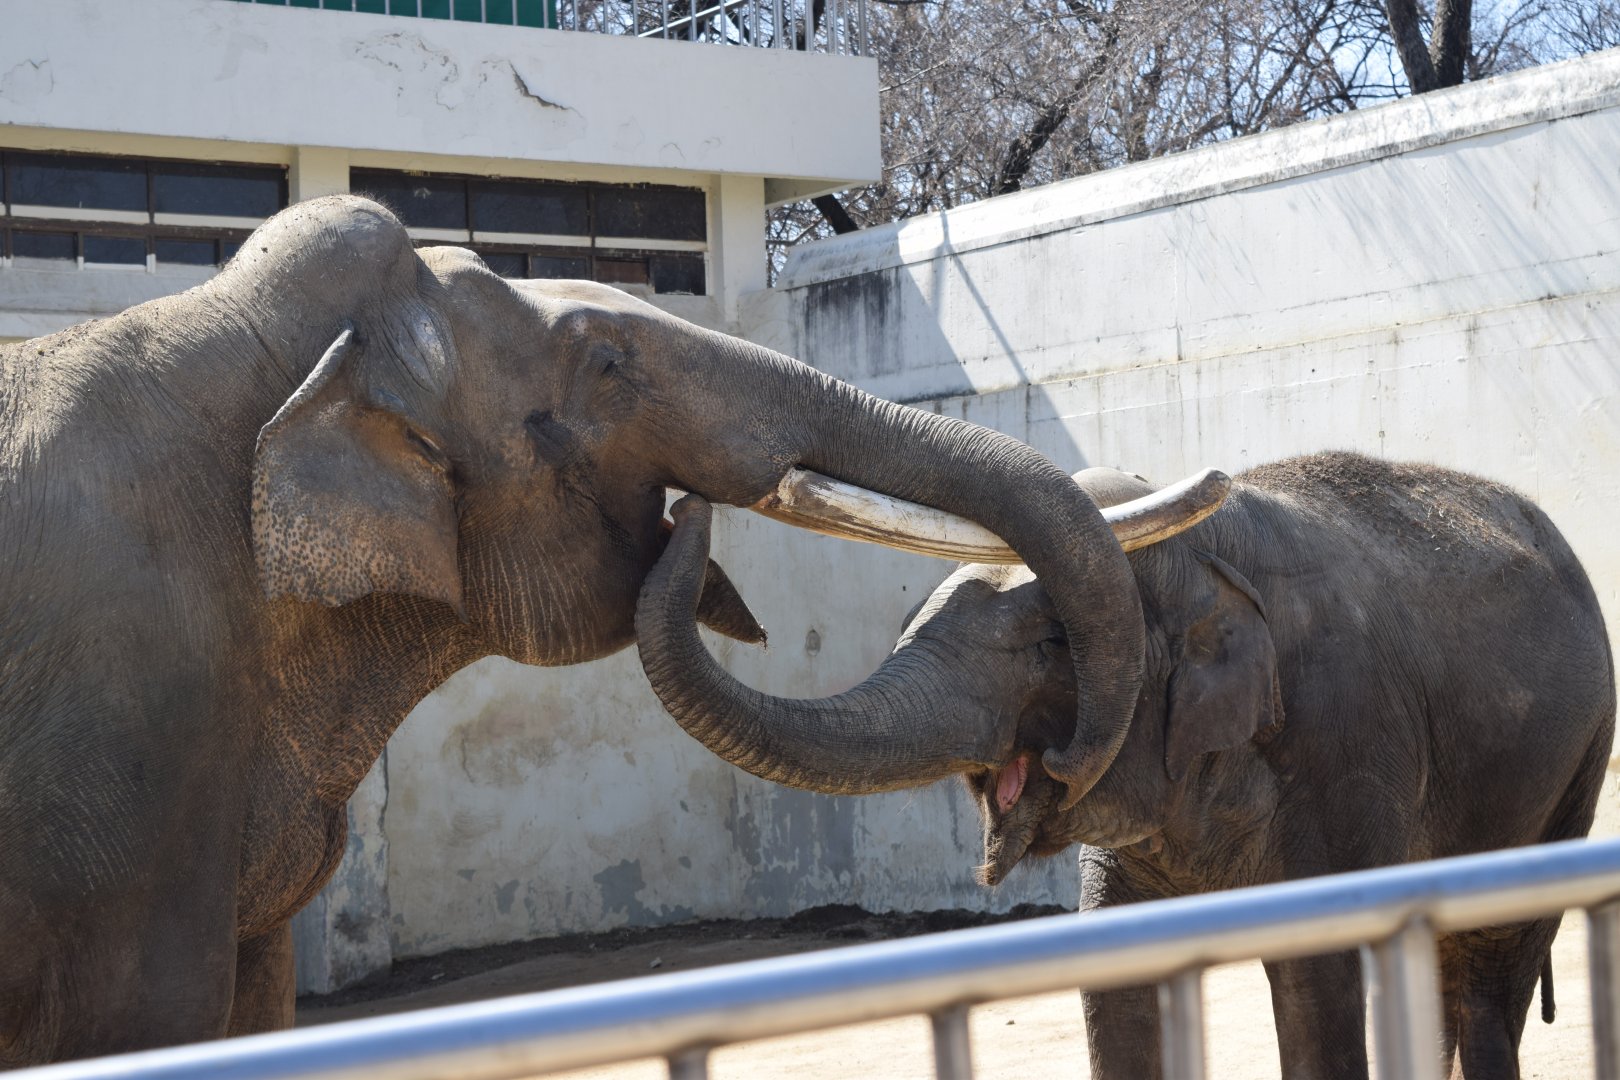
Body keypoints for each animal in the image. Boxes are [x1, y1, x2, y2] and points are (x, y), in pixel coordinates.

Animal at [637, 451, 1616, 1080]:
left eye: (1047, 643)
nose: (683, 508)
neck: (1204, 553)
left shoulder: (1346, 740)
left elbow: (1317, 974)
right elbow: (1117, 976)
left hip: (1576, 764)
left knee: (1489, 968)